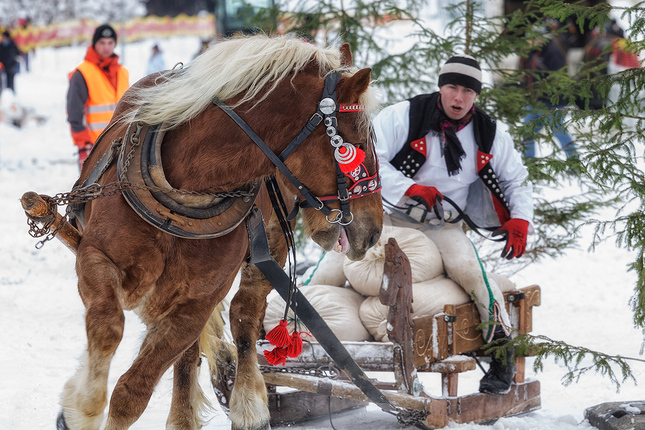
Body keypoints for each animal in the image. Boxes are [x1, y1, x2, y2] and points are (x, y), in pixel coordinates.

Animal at [56, 35, 382, 430]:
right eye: (357, 143)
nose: (374, 230)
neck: (184, 192)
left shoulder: (199, 299)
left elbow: (133, 392)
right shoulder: (95, 258)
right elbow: (108, 325)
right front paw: (82, 404)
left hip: (270, 249)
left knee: (244, 320)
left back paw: (246, 404)